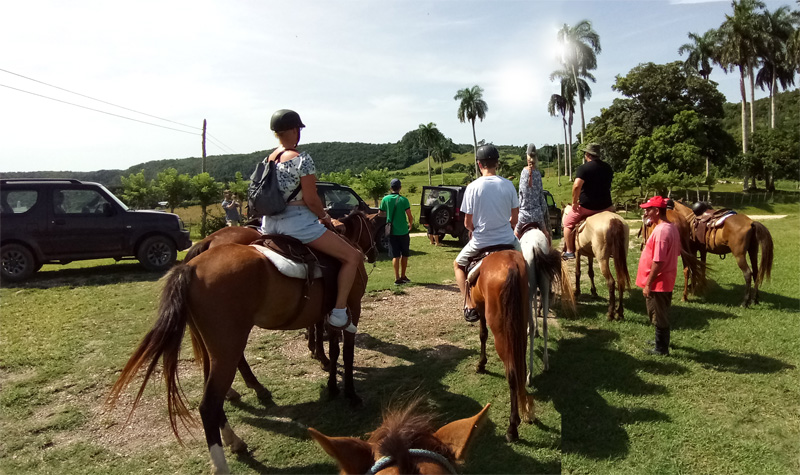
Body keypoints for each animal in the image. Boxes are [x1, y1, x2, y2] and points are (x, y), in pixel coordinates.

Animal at [108, 231, 368, 475]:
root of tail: (189, 268)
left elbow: (334, 349)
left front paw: (333, 385)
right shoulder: (353, 308)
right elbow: (346, 353)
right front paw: (351, 394)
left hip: (213, 349)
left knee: (214, 395)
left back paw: (234, 438)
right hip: (228, 348)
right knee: (208, 405)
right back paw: (222, 463)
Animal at [472, 251, 536, 444]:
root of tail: (511, 266)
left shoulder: (480, 307)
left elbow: (483, 334)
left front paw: (481, 364)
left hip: (501, 332)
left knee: (512, 373)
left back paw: (512, 428)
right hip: (519, 325)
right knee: (520, 364)